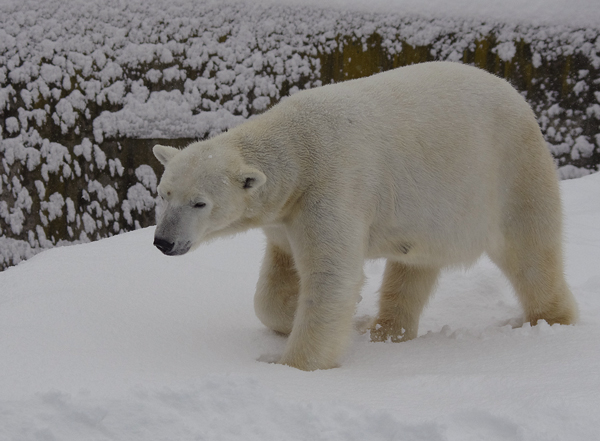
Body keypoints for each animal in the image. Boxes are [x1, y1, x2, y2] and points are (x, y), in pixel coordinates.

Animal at [152, 60, 580, 370]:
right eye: (164, 194)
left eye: (199, 202)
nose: (163, 241)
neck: (299, 147)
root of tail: (518, 96)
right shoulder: (285, 215)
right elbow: (274, 285)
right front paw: (340, 318)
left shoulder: (332, 189)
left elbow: (332, 276)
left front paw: (291, 366)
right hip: (431, 210)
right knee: (413, 267)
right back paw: (385, 330)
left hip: (511, 171)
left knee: (530, 253)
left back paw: (549, 320)